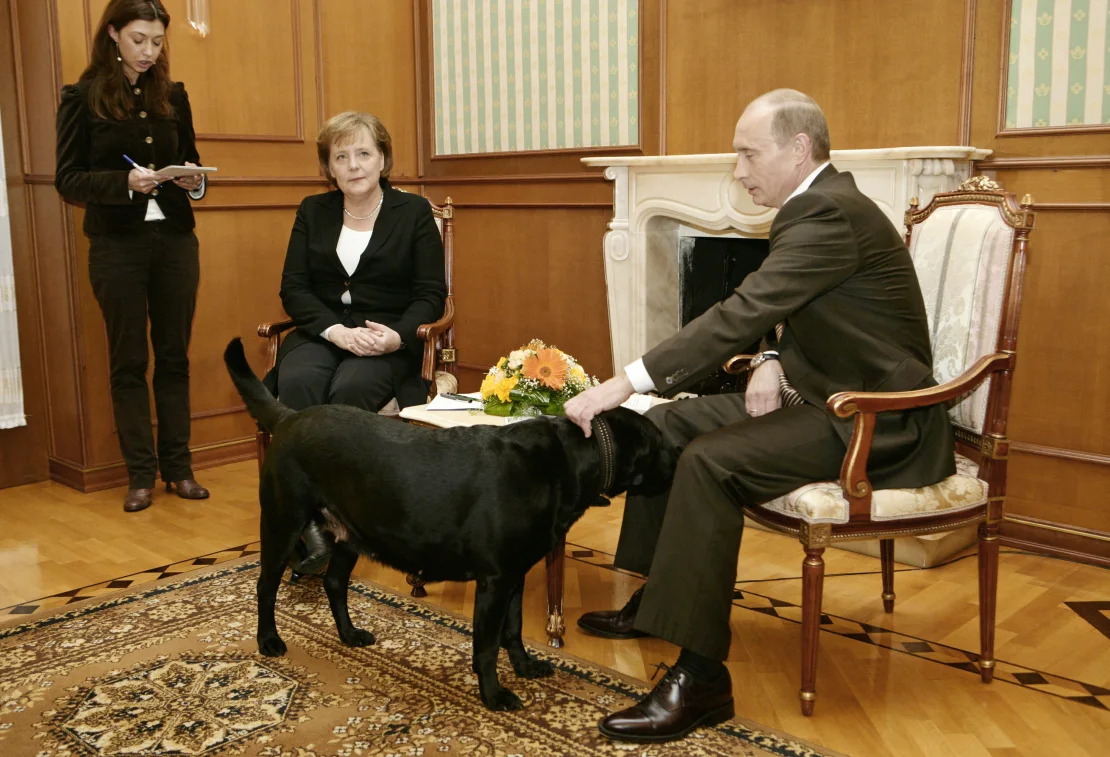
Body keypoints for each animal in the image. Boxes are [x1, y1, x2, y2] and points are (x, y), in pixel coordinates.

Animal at [223, 339, 674, 710]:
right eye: (660, 445)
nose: (679, 454)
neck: (564, 462)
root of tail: (288, 417)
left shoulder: (515, 575)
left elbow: (513, 631)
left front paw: (525, 667)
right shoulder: (495, 581)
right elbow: (487, 646)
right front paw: (494, 695)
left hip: (352, 532)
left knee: (334, 583)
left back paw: (349, 635)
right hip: (283, 523)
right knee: (265, 586)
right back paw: (269, 640)